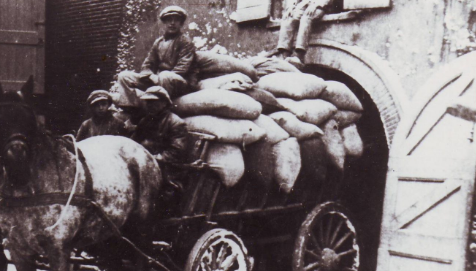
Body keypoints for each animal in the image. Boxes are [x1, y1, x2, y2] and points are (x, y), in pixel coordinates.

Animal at [0, 77, 162, 270]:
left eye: (30, 121)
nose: (18, 163)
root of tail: (146, 154)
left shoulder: (59, 248)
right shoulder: (19, 250)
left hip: (141, 228)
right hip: (111, 231)